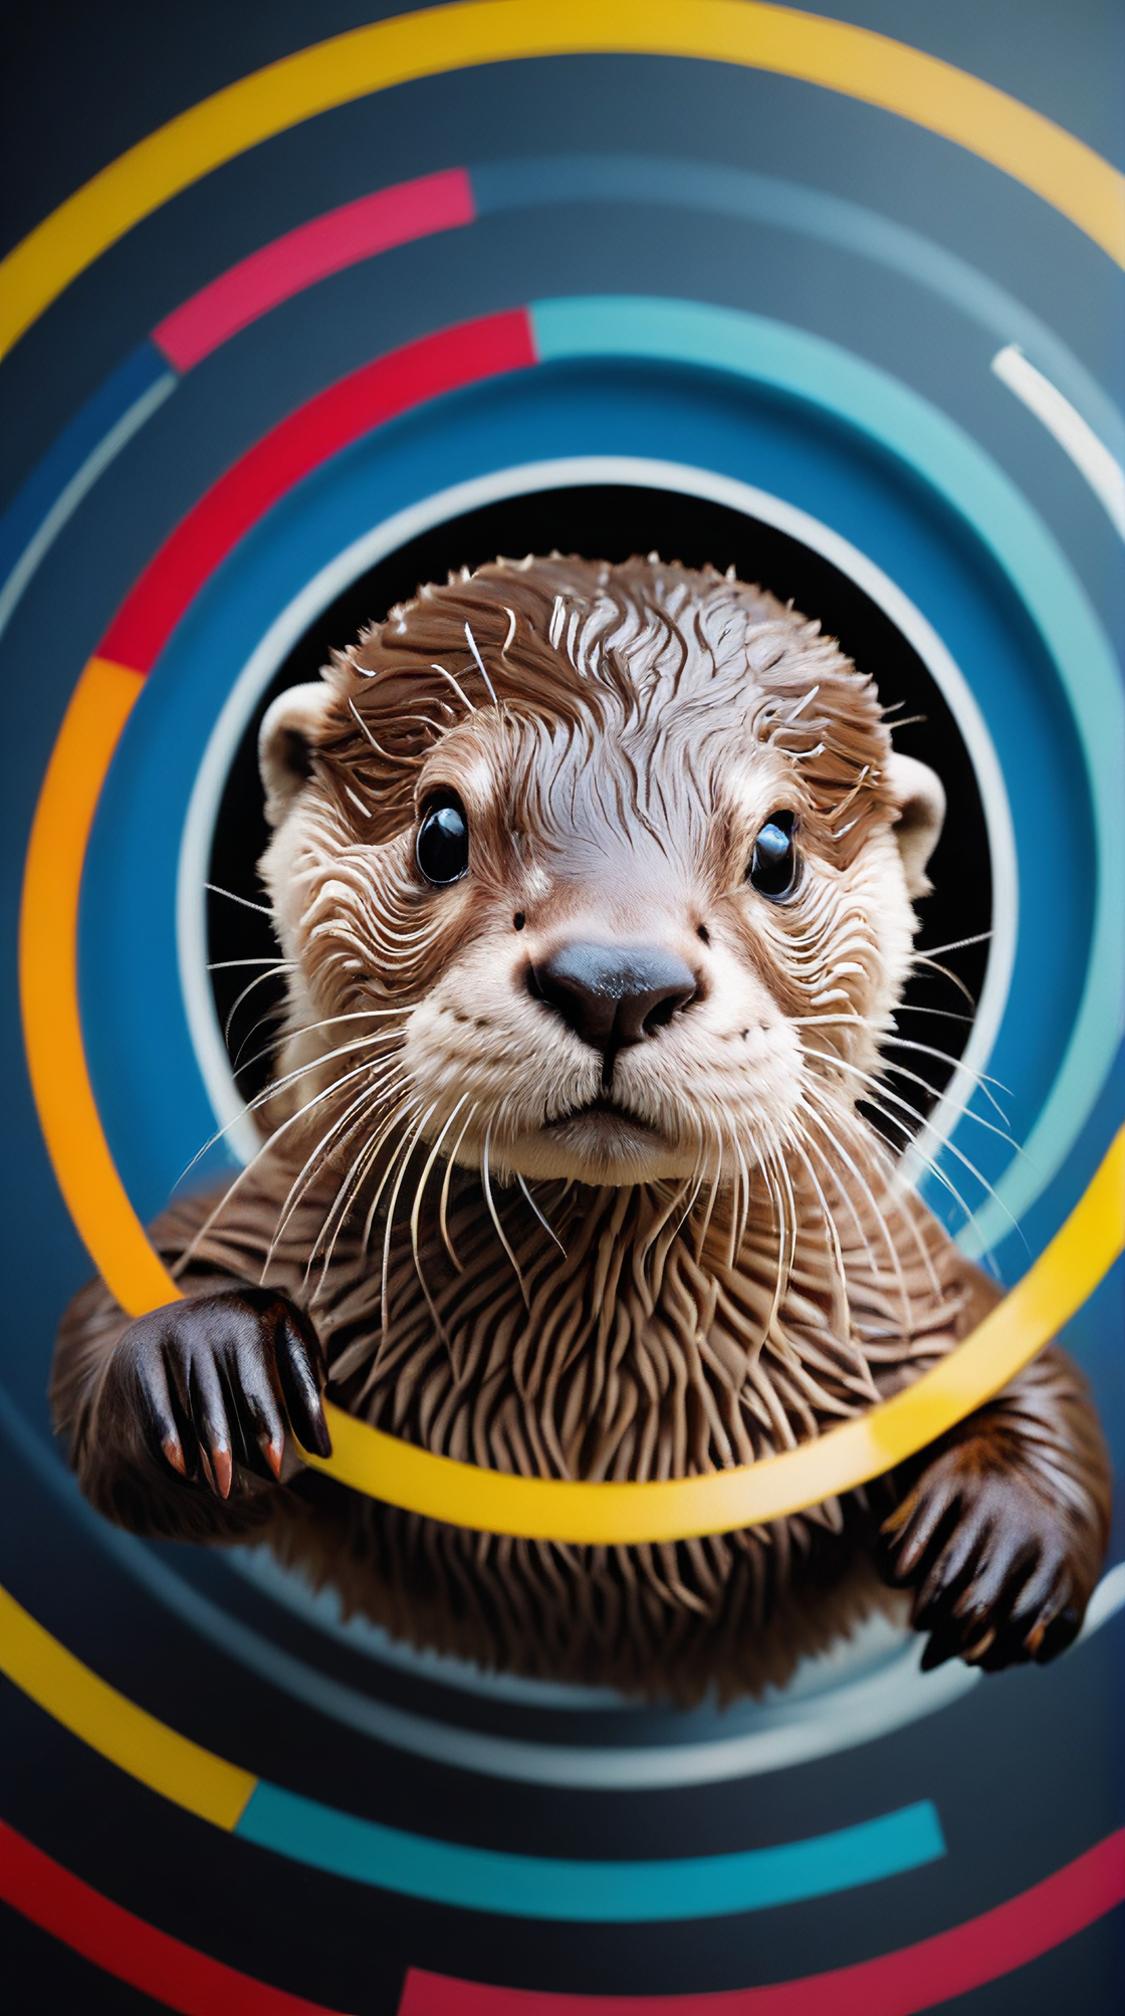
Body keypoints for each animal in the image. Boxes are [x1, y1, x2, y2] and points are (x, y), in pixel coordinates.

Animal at [52, 555, 1109, 1701]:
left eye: (776, 847)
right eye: (440, 830)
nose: (616, 981)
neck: (588, 1432)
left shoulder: (903, 1284)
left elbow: (1033, 1364)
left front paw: (1000, 1538)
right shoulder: (261, 1202)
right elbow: (91, 1347)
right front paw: (205, 1360)